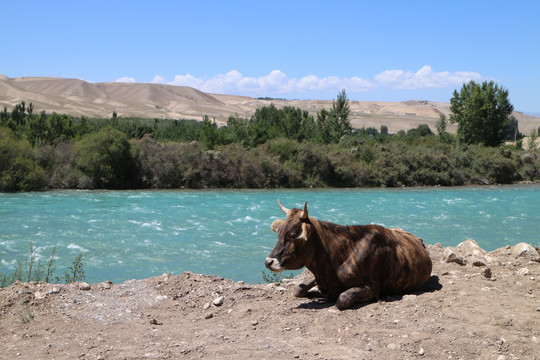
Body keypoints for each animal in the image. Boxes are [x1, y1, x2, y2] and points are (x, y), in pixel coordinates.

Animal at [264, 200, 432, 310]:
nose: (268, 261)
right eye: (279, 233)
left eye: (292, 235)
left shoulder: (372, 287)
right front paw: (316, 292)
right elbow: (299, 289)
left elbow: (342, 298)